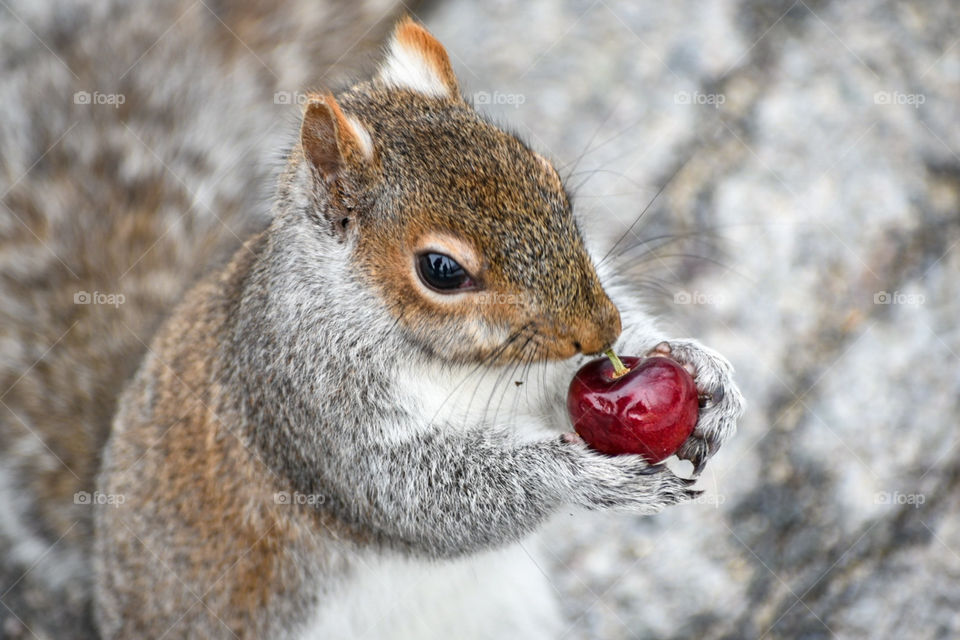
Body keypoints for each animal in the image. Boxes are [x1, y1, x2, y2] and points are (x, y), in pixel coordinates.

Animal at [0, 6, 744, 640]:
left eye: (552, 181)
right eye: (441, 270)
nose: (600, 332)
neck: (439, 355)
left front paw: (707, 376)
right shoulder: (304, 404)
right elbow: (416, 496)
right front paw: (586, 478)